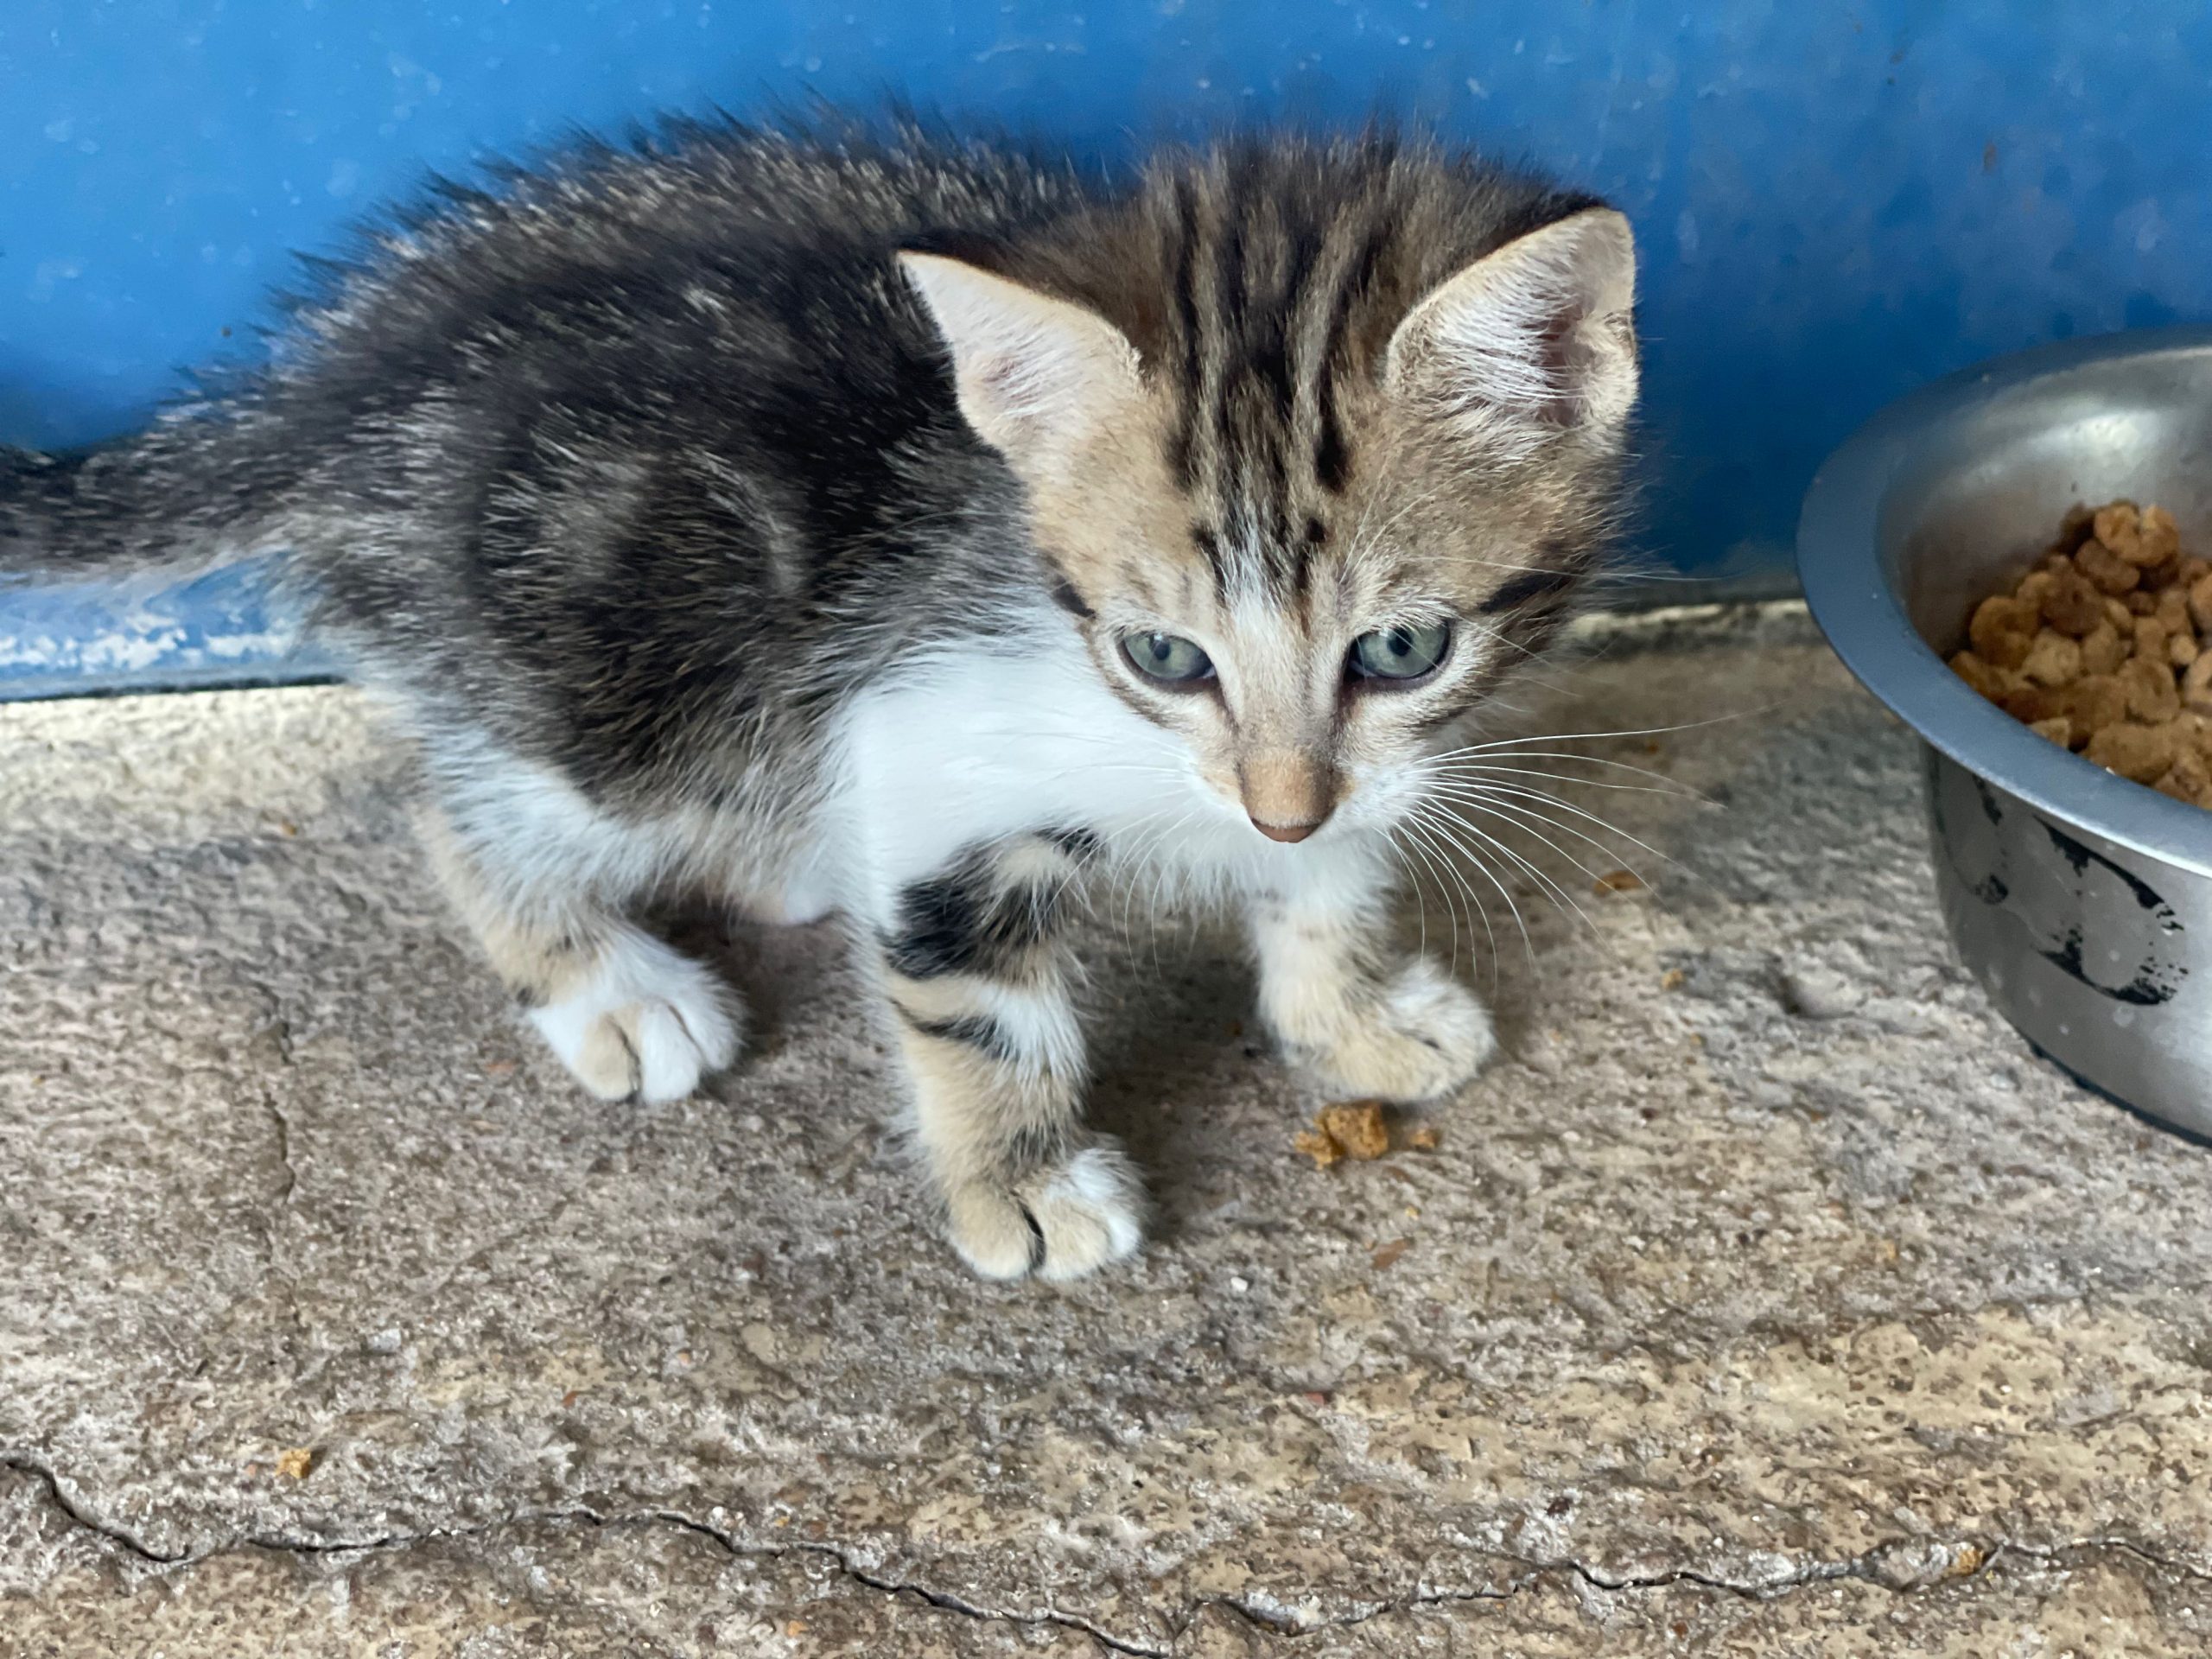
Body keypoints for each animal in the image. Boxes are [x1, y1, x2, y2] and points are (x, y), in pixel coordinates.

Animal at [0, 116, 1639, 1281]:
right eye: (1166, 657)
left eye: (1402, 651)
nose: (1280, 805)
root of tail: (328, 397)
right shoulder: (928, 729)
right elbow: (973, 997)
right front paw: (1021, 1183)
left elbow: (1330, 872)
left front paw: (1352, 1011)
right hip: (629, 687)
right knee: (465, 804)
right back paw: (610, 982)